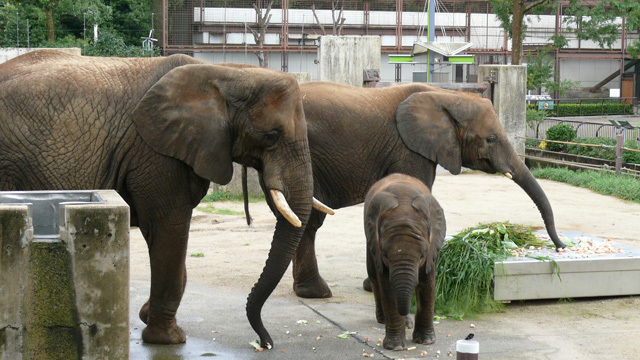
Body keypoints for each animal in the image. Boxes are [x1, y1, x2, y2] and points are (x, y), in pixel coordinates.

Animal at [249, 81, 564, 298]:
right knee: (309, 221)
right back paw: (317, 293)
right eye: (490, 139)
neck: (446, 96)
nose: (560, 246)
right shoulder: (409, 150)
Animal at [362, 173, 448, 350]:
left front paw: (426, 341)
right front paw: (395, 347)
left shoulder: (432, 249)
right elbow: (387, 286)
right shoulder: (377, 247)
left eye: (422, 255)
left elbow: (426, 283)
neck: (404, 203)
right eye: (385, 255)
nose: (405, 315)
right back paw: (384, 320)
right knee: (373, 275)